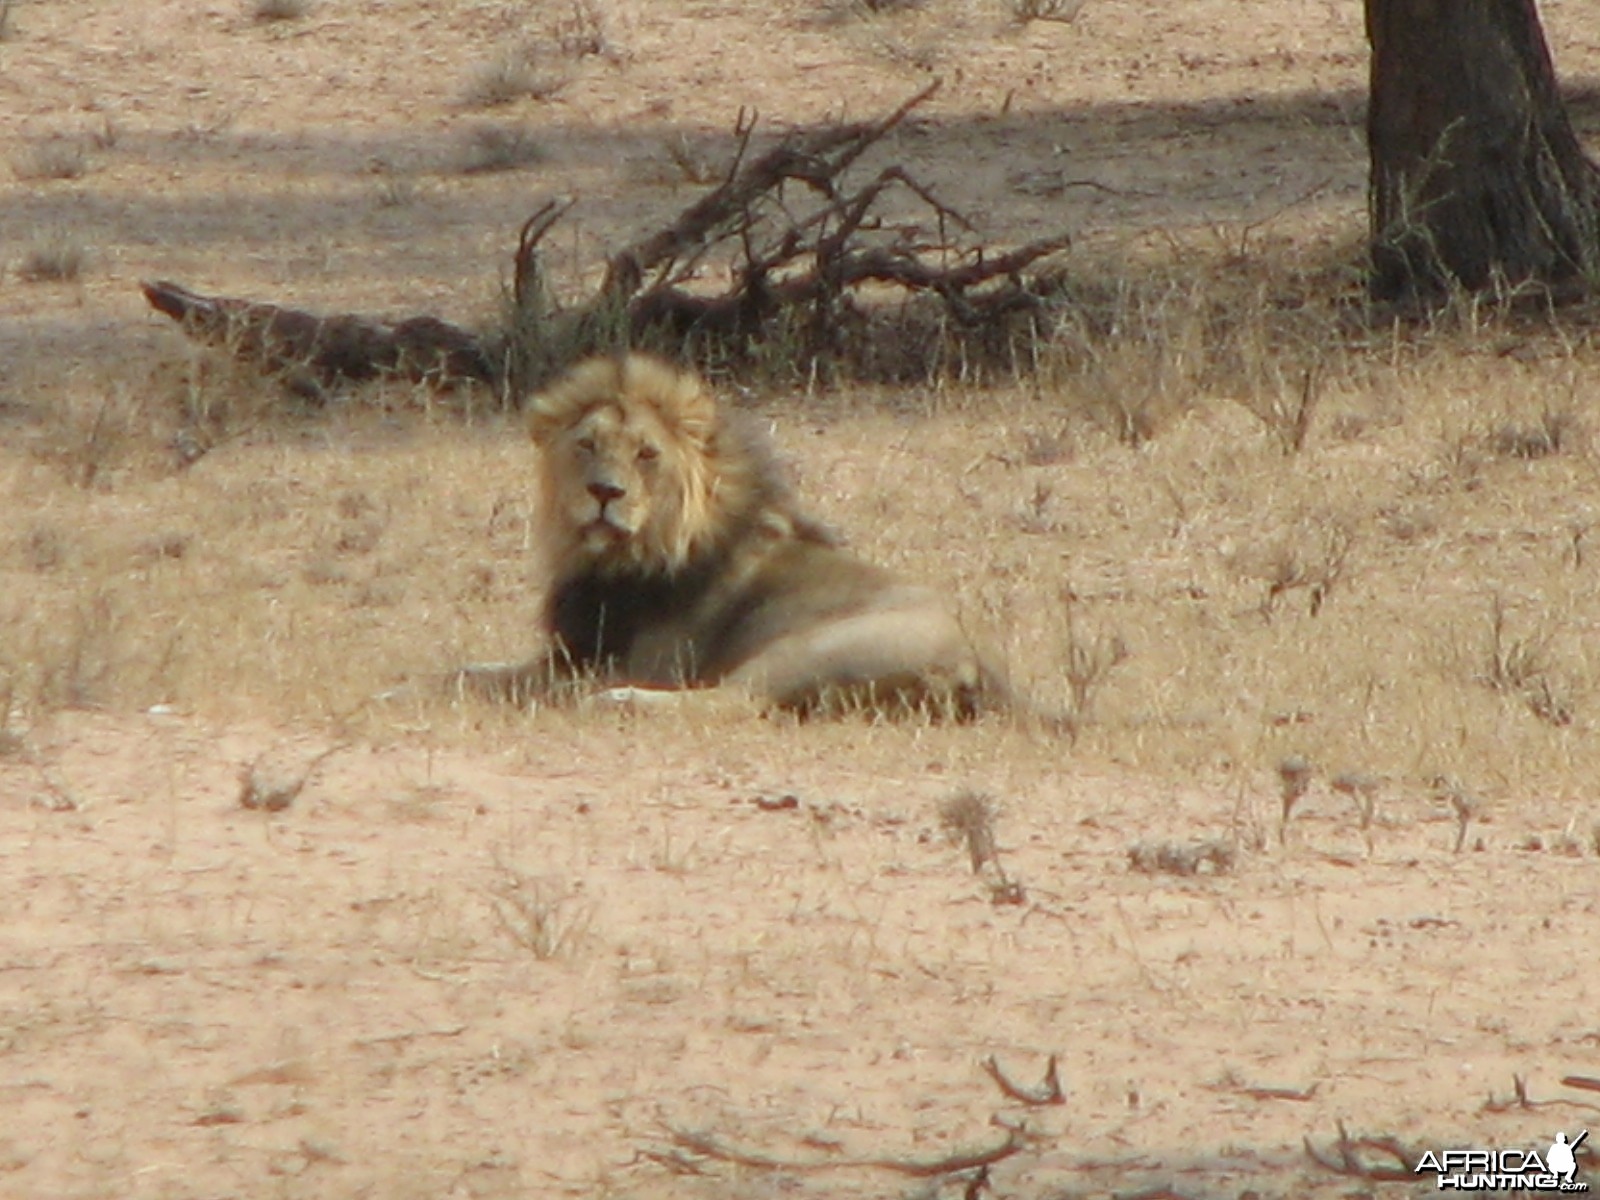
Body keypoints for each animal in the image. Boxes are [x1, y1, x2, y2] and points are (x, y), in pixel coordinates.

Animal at [464, 352, 1004, 720]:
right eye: (586, 445)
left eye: (646, 453)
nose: (604, 491)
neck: (610, 561)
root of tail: (973, 666)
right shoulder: (570, 652)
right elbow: (476, 672)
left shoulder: (630, 663)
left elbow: (515, 683)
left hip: (806, 648)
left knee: (735, 701)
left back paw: (617, 700)